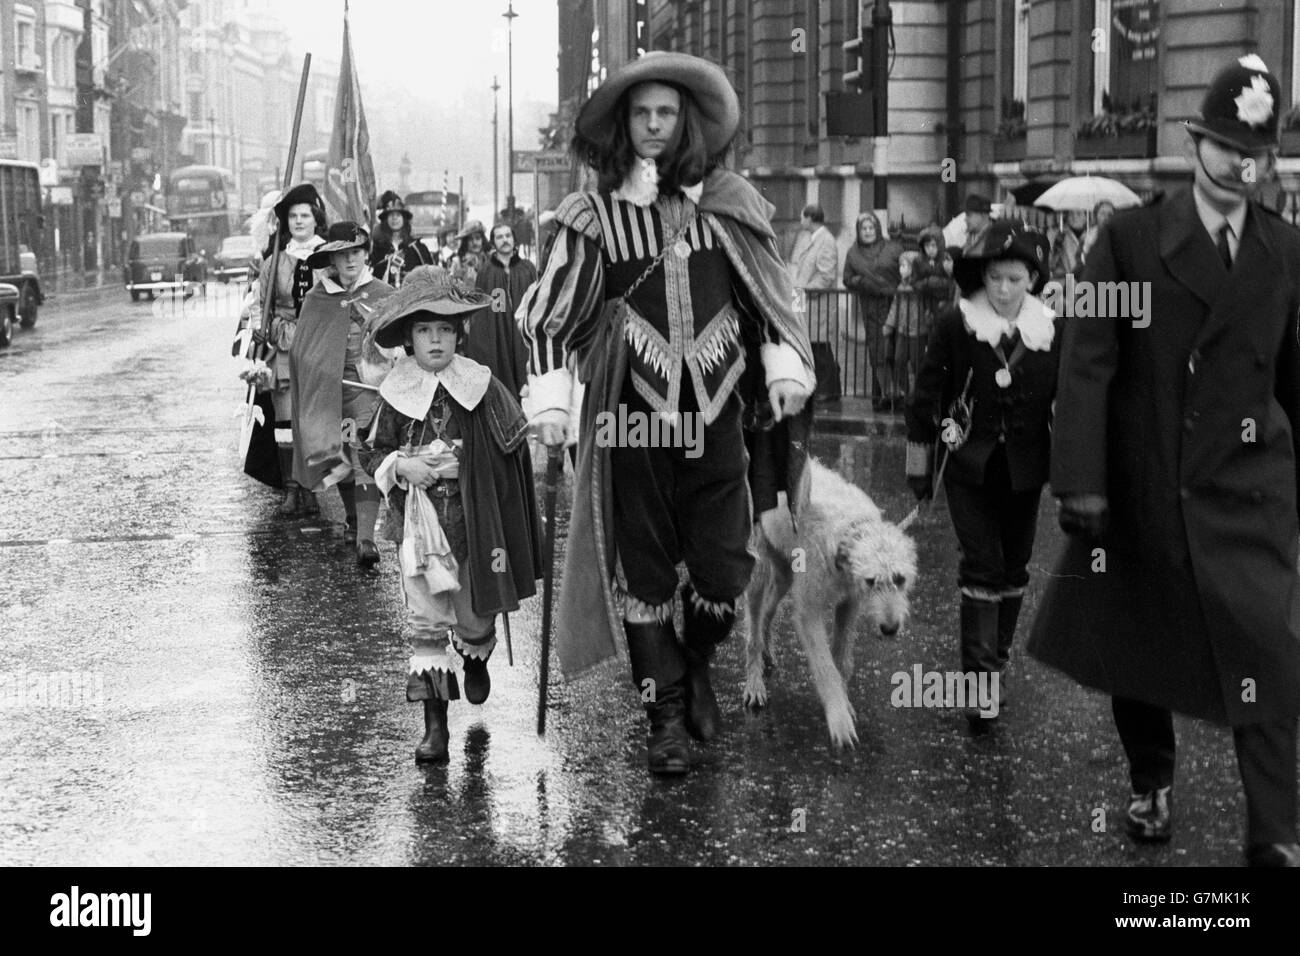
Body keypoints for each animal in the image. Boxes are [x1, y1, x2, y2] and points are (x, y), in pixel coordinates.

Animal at [748, 460, 920, 749]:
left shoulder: (849, 604)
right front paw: (839, 720)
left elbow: (841, 658)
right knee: (752, 629)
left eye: (899, 579)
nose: (890, 629)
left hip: (784, 571)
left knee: (769, 610)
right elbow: (826, 667)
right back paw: (754, 683)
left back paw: (767, 651)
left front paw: (845, 704)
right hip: (758, 568)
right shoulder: (809, 613)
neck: (847, 531)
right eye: (871, 581)